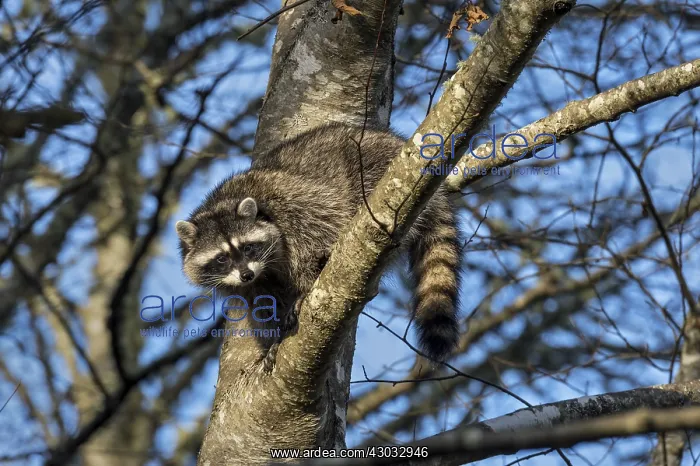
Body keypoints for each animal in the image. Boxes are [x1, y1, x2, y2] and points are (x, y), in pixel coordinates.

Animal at [176, 123, 461, 363]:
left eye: (248, 247)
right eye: (221, 258)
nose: (246, 274)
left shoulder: (291, 201)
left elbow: (319, 227)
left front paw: (304, 287)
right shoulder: (249, 282)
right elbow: (263, 302)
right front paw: (274, 337)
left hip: (380, 170)